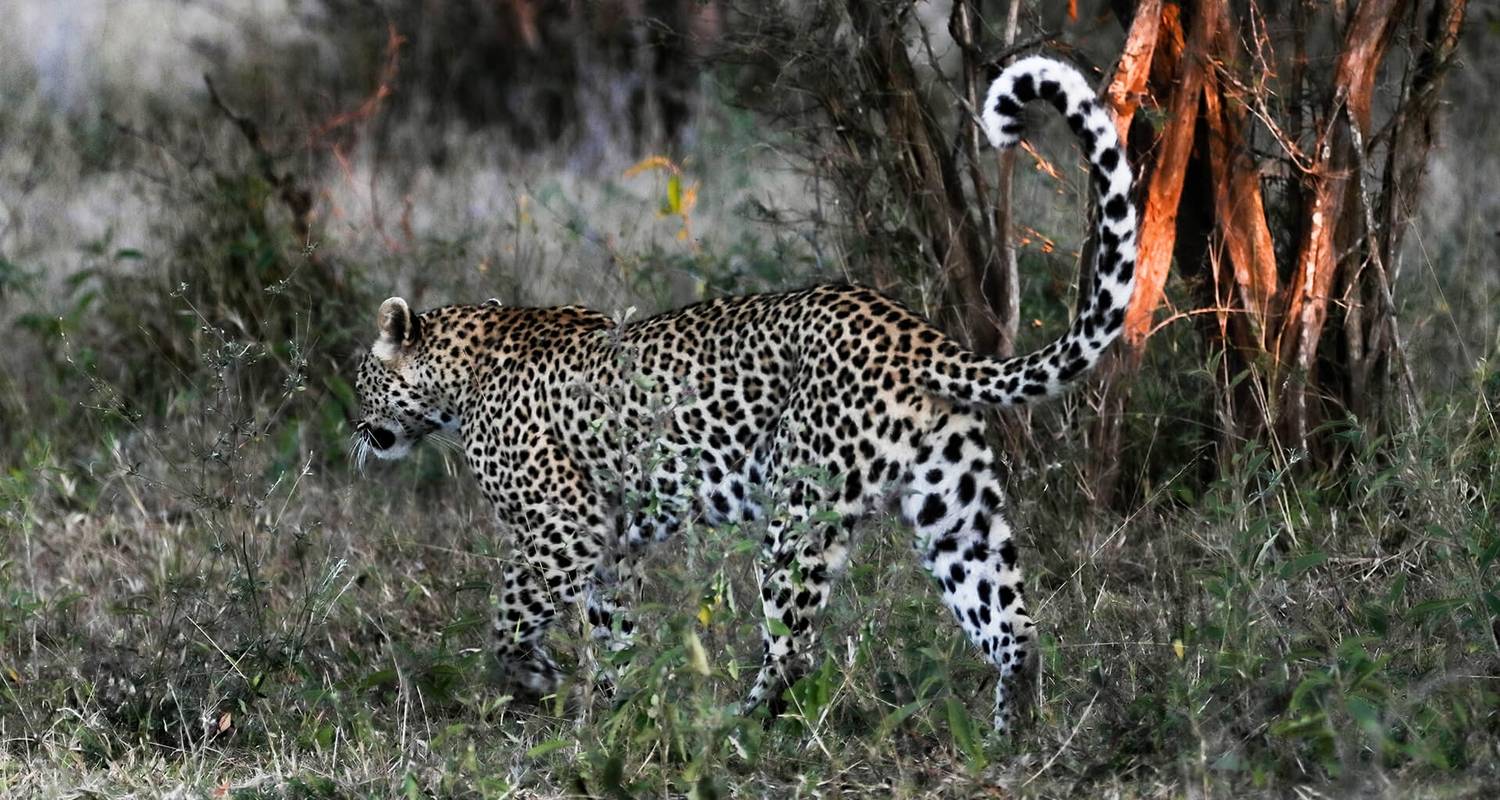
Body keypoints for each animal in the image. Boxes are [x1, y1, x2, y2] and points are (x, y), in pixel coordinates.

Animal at [357, 56, 1134, 729]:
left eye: (362, 382)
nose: (360, 434)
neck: (461, 370)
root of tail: (915, 335)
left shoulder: (564, 529)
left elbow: (509, 621)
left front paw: (539, 681)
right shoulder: (611, 546)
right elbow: (611, 631)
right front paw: (613, 708)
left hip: (800, 514)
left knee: (794, 647)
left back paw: (740, 724)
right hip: (955, 513)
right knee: (1015, 629)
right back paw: (1013, 741)